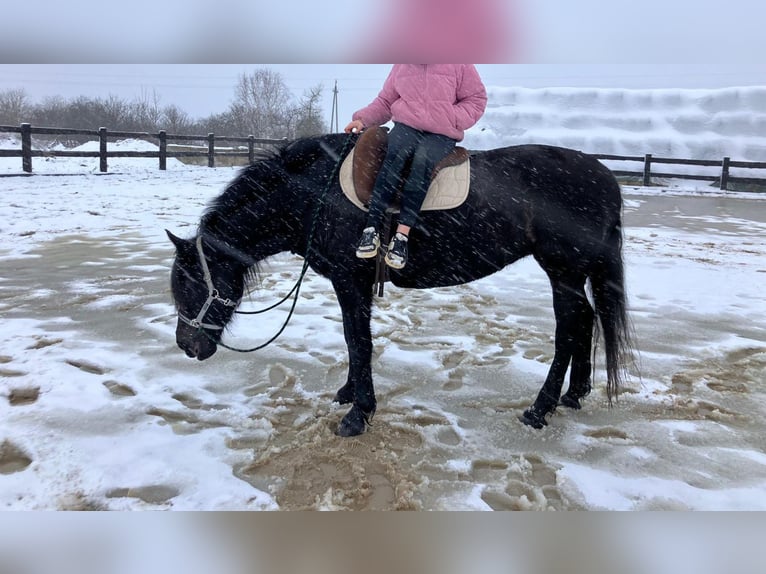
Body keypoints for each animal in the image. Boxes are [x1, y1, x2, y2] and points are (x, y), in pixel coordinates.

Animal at [171, 134, 632, 436]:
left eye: (192, 284)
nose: (187, 347)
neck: (316, 193)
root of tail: (605, 178)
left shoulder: (350, 281)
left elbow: (358, 340)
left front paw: (359, 414)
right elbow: (353, 340)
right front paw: (348, 392)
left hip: (563, 271)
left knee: (569, 328)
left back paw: (540, 408)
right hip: (571, 273)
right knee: (585, 319)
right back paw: (574, 394)